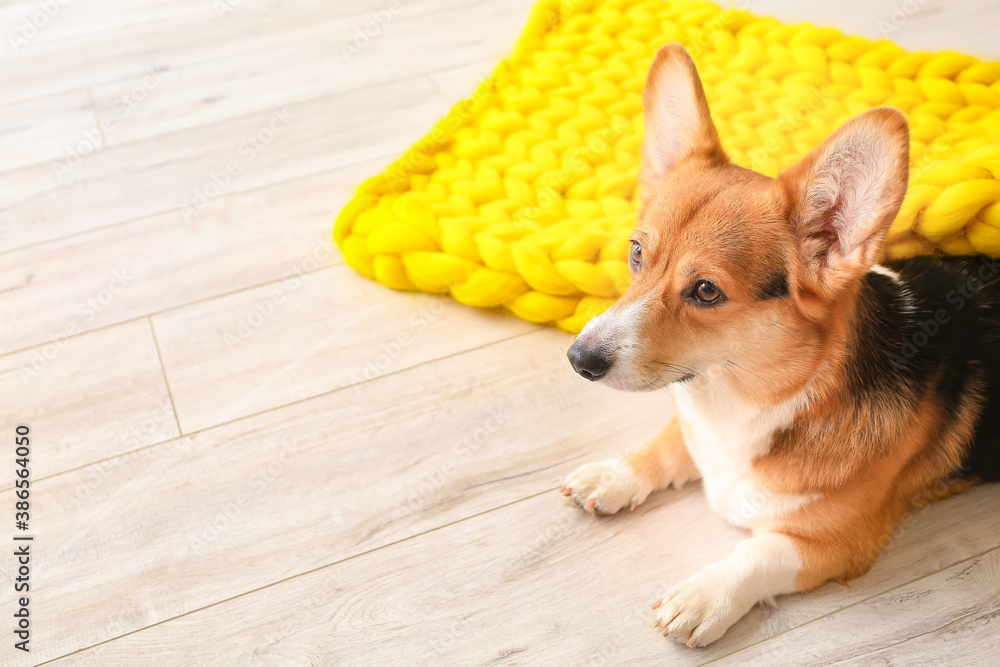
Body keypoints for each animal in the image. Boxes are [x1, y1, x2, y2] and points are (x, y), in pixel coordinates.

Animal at [560, 41, 1000, 648]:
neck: (751, 401)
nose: (579, 359)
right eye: (636, 253)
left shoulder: (833, 544)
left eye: (706, 290)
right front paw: (614, 472)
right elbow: (667, 444)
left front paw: (703, 596)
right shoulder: (696, 424)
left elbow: (758, 554)